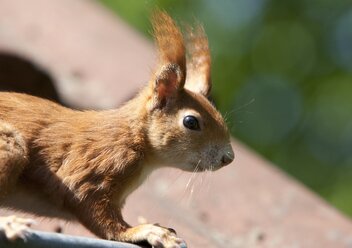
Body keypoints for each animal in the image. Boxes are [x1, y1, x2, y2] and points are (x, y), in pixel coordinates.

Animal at [0, 11, 234, 248]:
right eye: (191, 122)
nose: (228, 158)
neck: (133, 138)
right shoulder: (94, 169)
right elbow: (103, 220)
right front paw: (147, 231)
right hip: (10, 147)